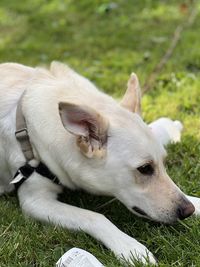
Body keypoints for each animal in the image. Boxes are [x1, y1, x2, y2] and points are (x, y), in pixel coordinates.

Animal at [0, 62, 199, 266]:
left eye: (164, 163)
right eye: (144, 169)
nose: (188, 211)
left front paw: (195, 202)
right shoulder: (34, 201)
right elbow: (95, 217)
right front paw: (130, 247)